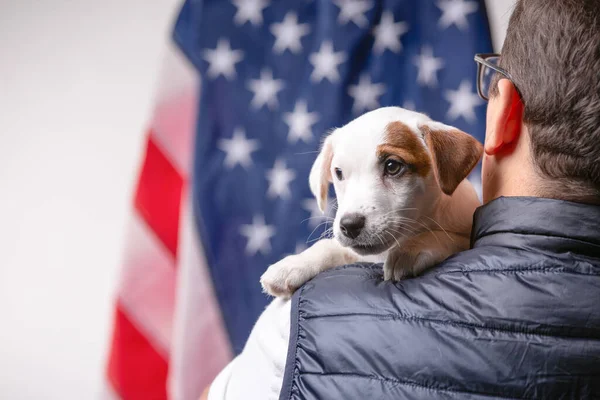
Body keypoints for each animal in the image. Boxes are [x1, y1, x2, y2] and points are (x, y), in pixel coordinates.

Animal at [258, 106, 482, 296]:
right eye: (338, 172)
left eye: (392, 166)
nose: (349, 225)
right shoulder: (363, 254)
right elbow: (330, 246)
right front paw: (293, 264)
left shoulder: (464, 238)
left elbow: (447, 236)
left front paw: (410, 249)